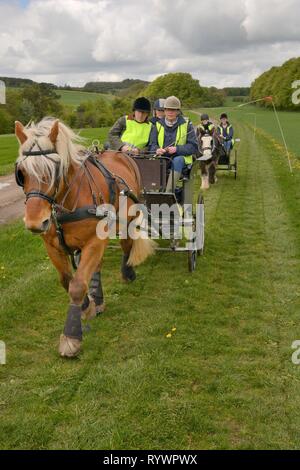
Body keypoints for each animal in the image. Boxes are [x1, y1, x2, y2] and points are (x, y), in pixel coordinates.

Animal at [14, 116, 155, 356]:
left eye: (55, 170)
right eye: (21, 173)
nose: (34, 222)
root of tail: (120, 153)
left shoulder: (94, 240)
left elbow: (78, 284)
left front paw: (71, 337)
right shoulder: (52, 246)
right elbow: (67, 280)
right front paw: (88, 305)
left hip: (128, 216)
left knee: (127, 245)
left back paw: (127, 272)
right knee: (98, 264)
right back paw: (98, 299)